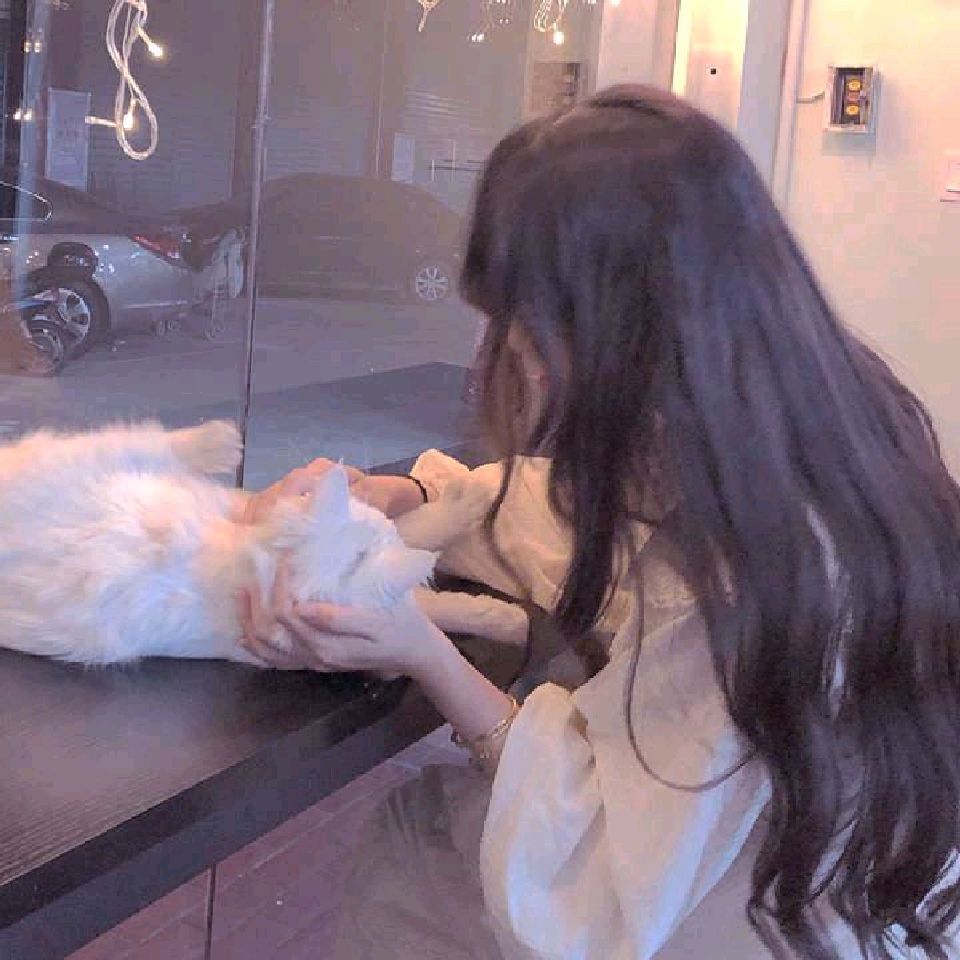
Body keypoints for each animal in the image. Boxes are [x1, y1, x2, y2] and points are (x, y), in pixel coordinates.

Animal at [0, 420, 528, 666]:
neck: (254, 564)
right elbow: (439, 601)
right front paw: (509, 620)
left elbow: (422, 520)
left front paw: (470, 494)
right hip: (88, 454)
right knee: (143, 436)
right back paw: (219, 441)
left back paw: (217, 443)